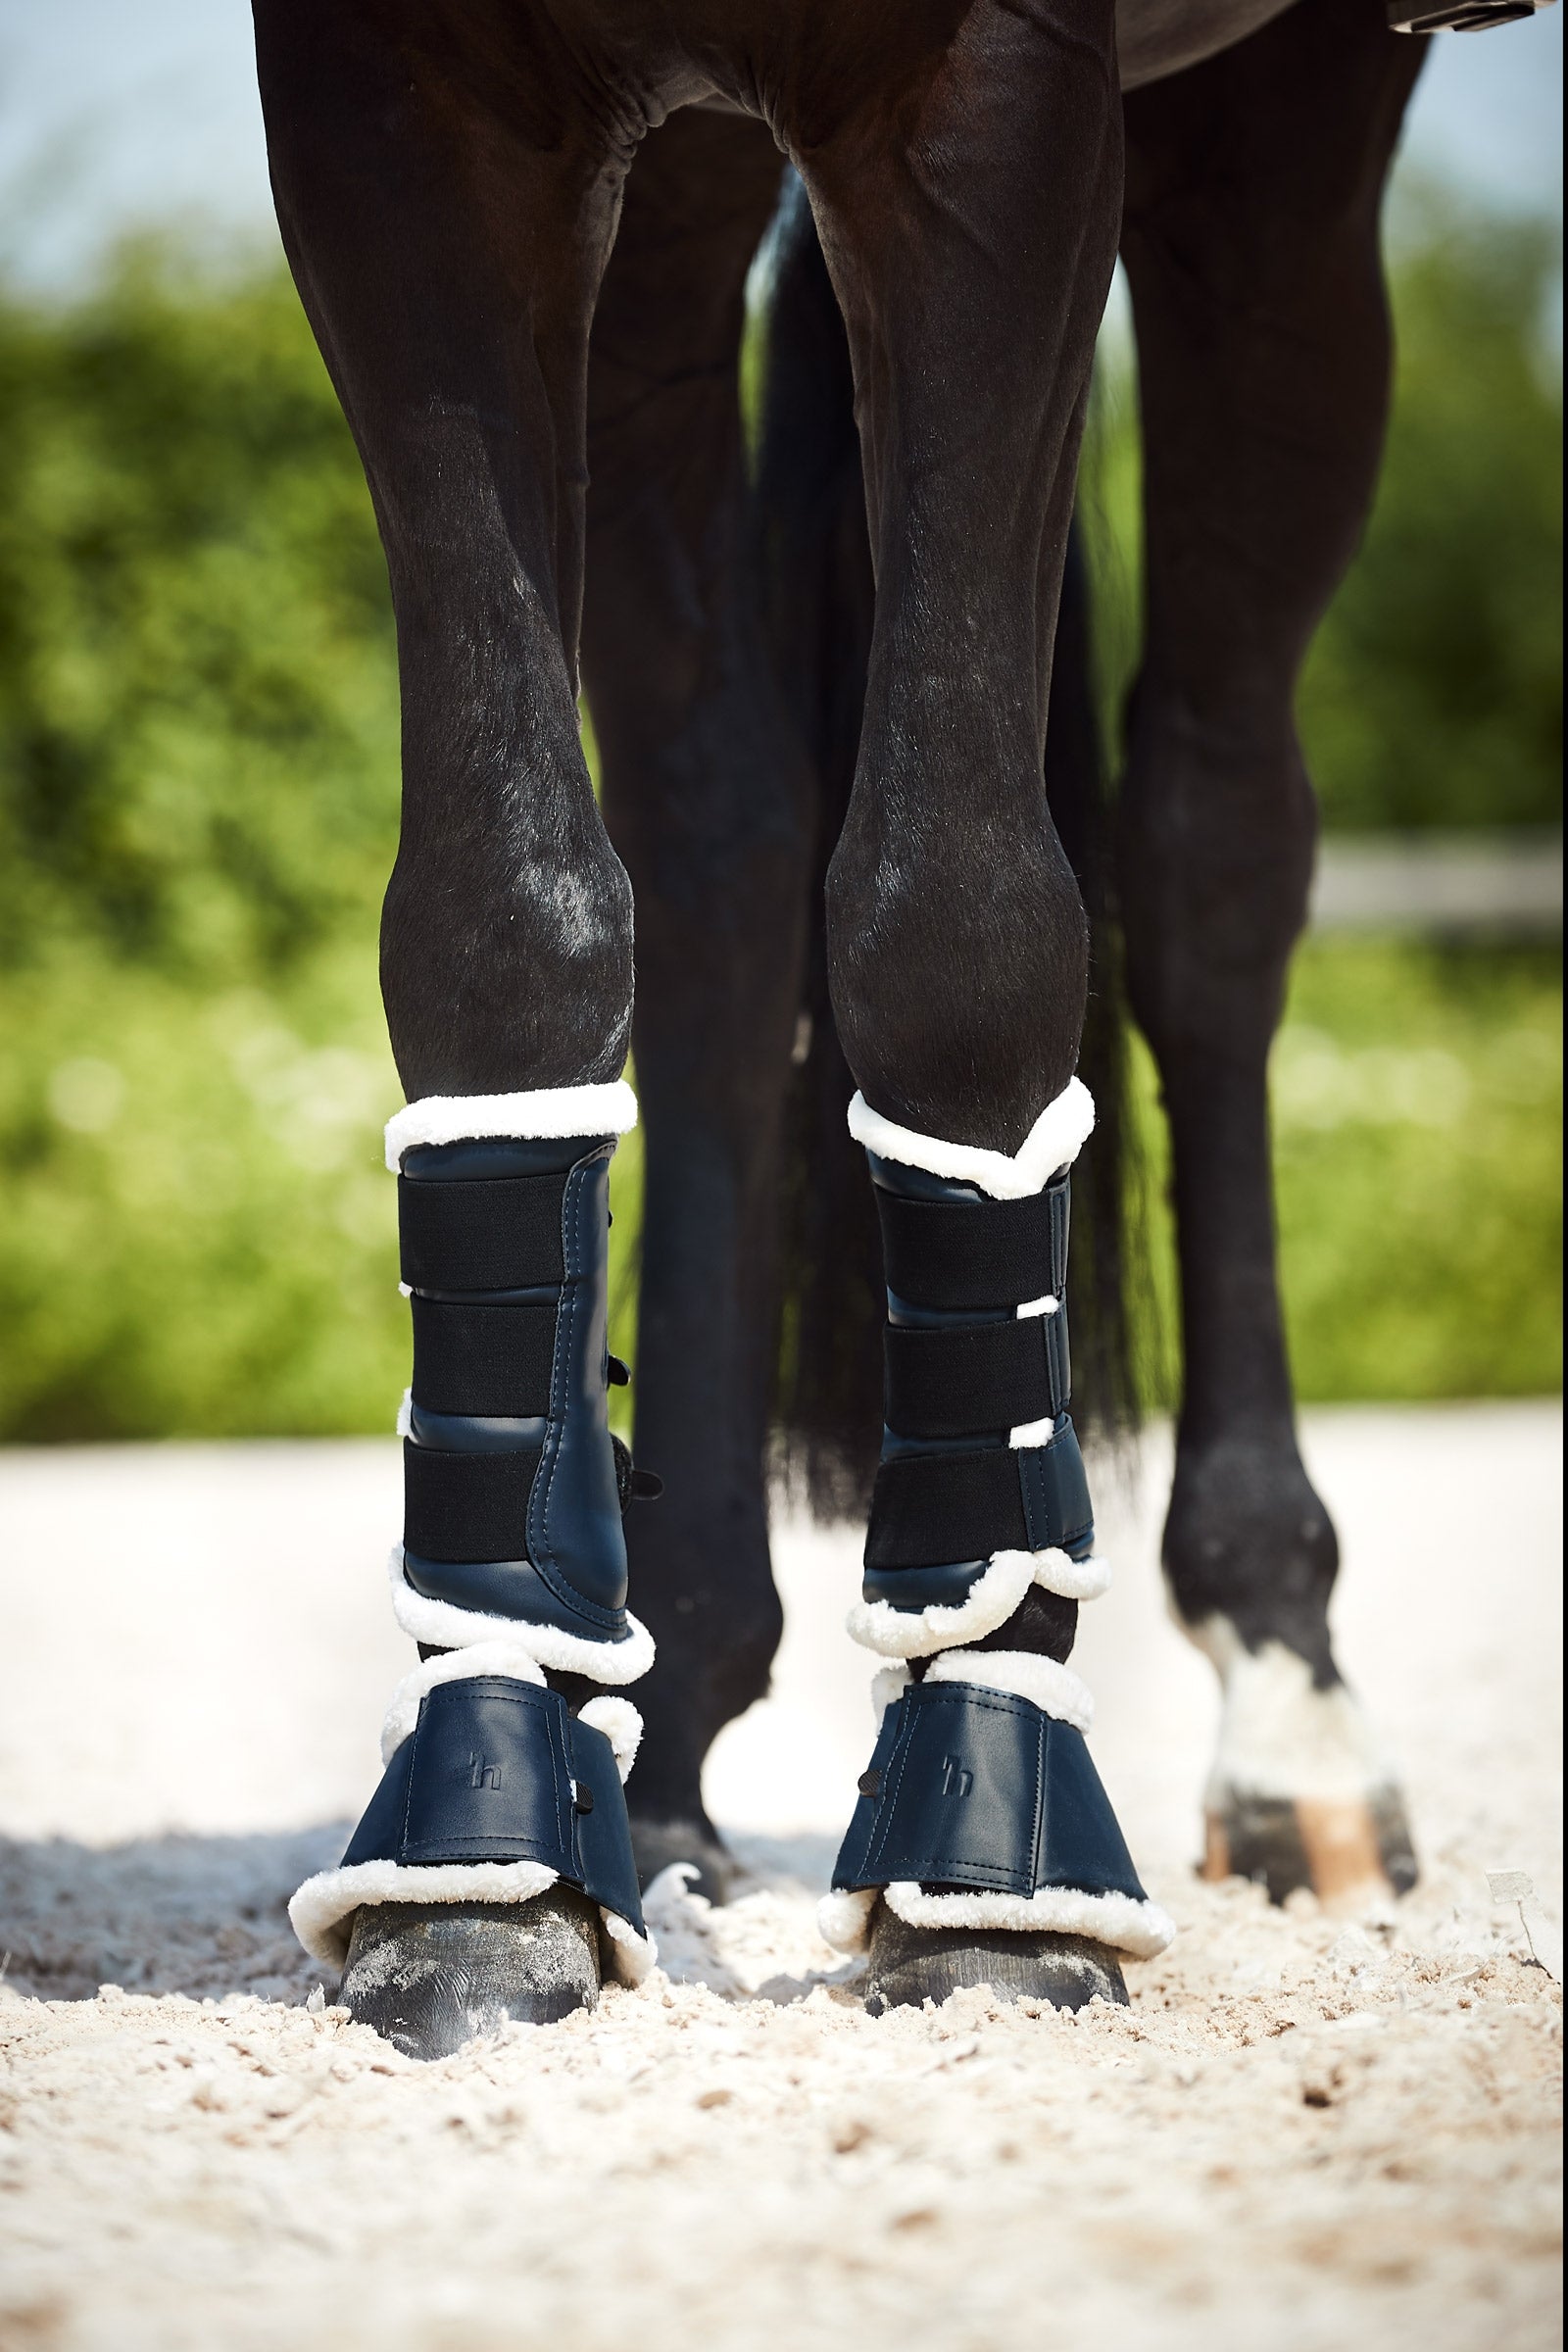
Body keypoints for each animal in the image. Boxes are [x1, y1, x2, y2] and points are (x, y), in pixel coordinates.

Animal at [255, 0, 1504, 2058]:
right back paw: (656, 1743)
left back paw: (1291, 1720)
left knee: (1212, 848)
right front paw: (489, 1876)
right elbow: (498, 911)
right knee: (723, 857)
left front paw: (985, 1894)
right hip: (678, 205)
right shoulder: (397, 109)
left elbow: (960, 922)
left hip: (1284, 148)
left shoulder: (989, 103)